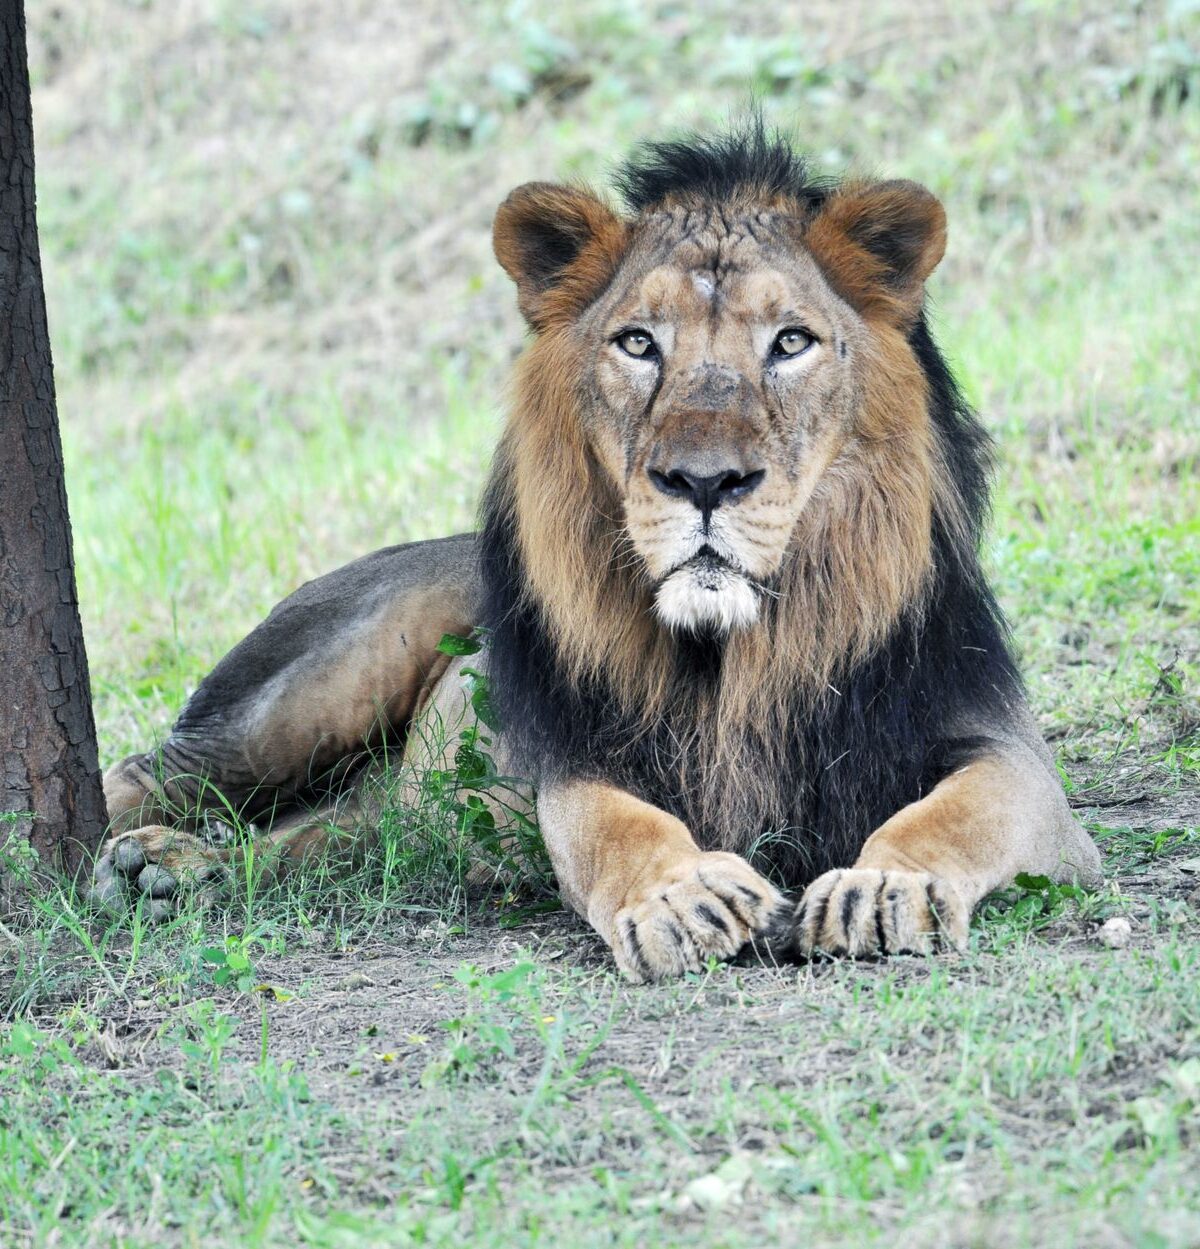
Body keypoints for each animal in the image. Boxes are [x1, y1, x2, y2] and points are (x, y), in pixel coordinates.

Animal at [91, 125, 1101, 979]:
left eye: (791, 342)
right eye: (638, 343)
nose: (704, 481)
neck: (734, 653)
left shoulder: (1004, 747)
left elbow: (961, 811)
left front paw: (882, 885)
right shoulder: (582, 754)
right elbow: (612, 825)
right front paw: (683, 895)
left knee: (334, 839)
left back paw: (180, 872)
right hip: (304, 695)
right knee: (148, 770)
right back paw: (132, 857)